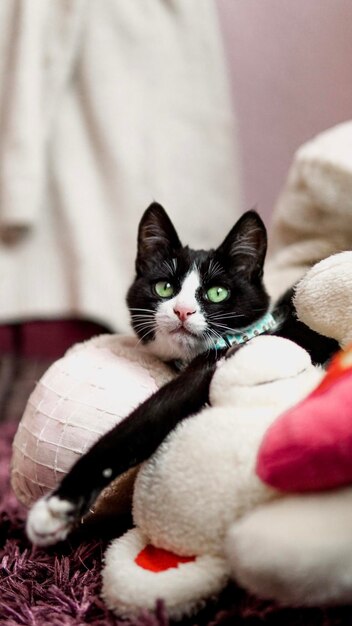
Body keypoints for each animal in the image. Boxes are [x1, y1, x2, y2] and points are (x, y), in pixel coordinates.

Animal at [25, 202, 338, 544]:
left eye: (217, 293)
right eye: (165, 287)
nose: (182, 310)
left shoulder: (211, 368)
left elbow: (143, 421)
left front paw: (57, 507)